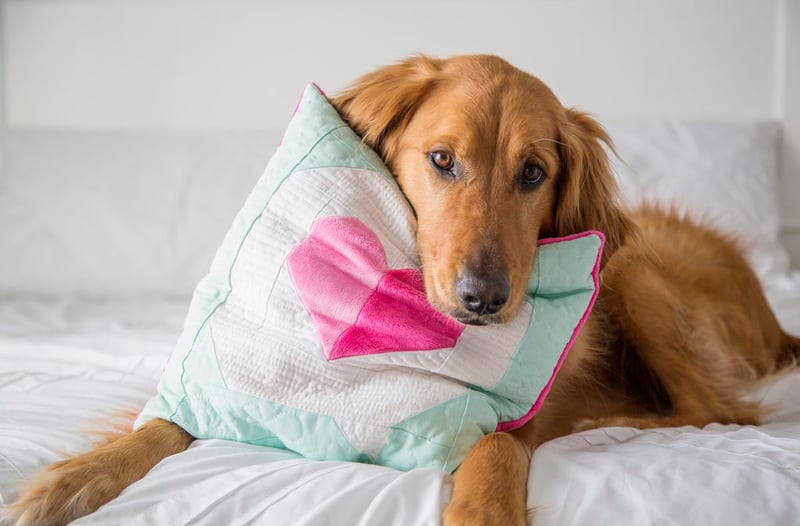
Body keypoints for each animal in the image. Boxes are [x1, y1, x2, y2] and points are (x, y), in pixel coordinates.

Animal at [7, 54, 800, 526]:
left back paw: (615, 415)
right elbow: (160, 427)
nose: (484, 299)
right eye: (442, 160)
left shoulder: (521, 412)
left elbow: (500, 444)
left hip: (635, 276)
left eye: (533, 174)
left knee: (718, 412)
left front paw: (485, 510)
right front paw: (71, 479)